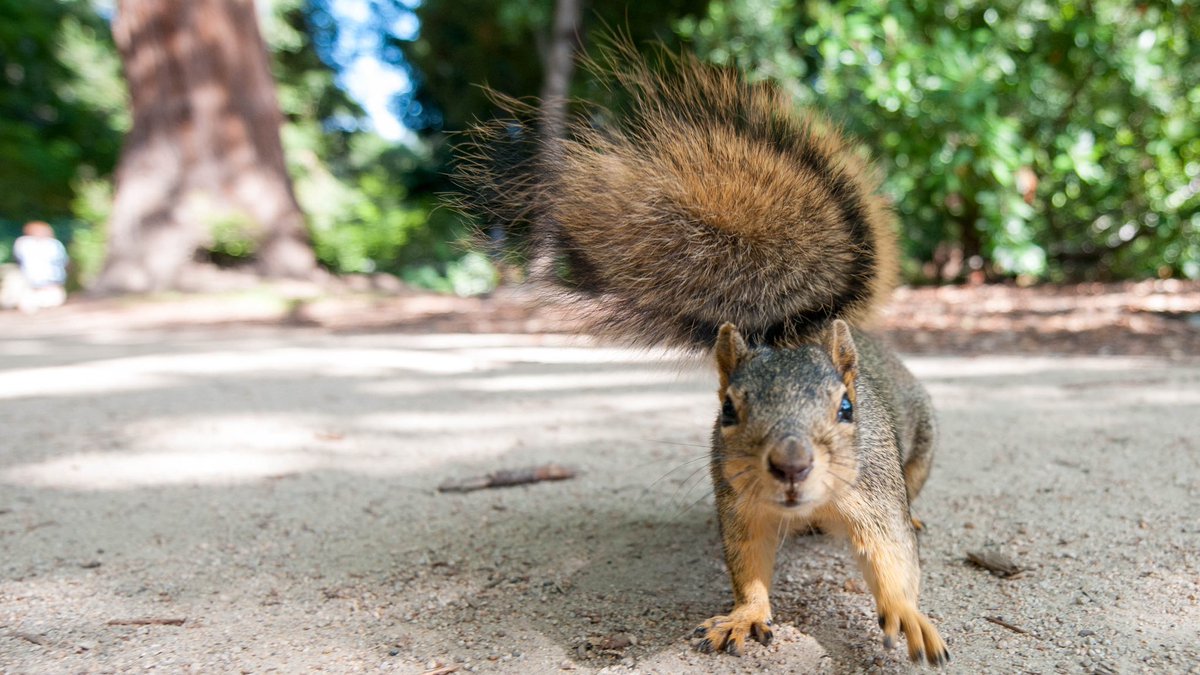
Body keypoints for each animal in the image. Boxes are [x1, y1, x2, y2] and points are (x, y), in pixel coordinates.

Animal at [454, 42, 949, 666]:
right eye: (728, 410)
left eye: (846, 408)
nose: (791, 464)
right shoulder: (739, 502)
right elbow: (748, 563)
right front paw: (745, 615)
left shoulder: (873, 493)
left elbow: (891, 556)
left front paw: (908, 614)